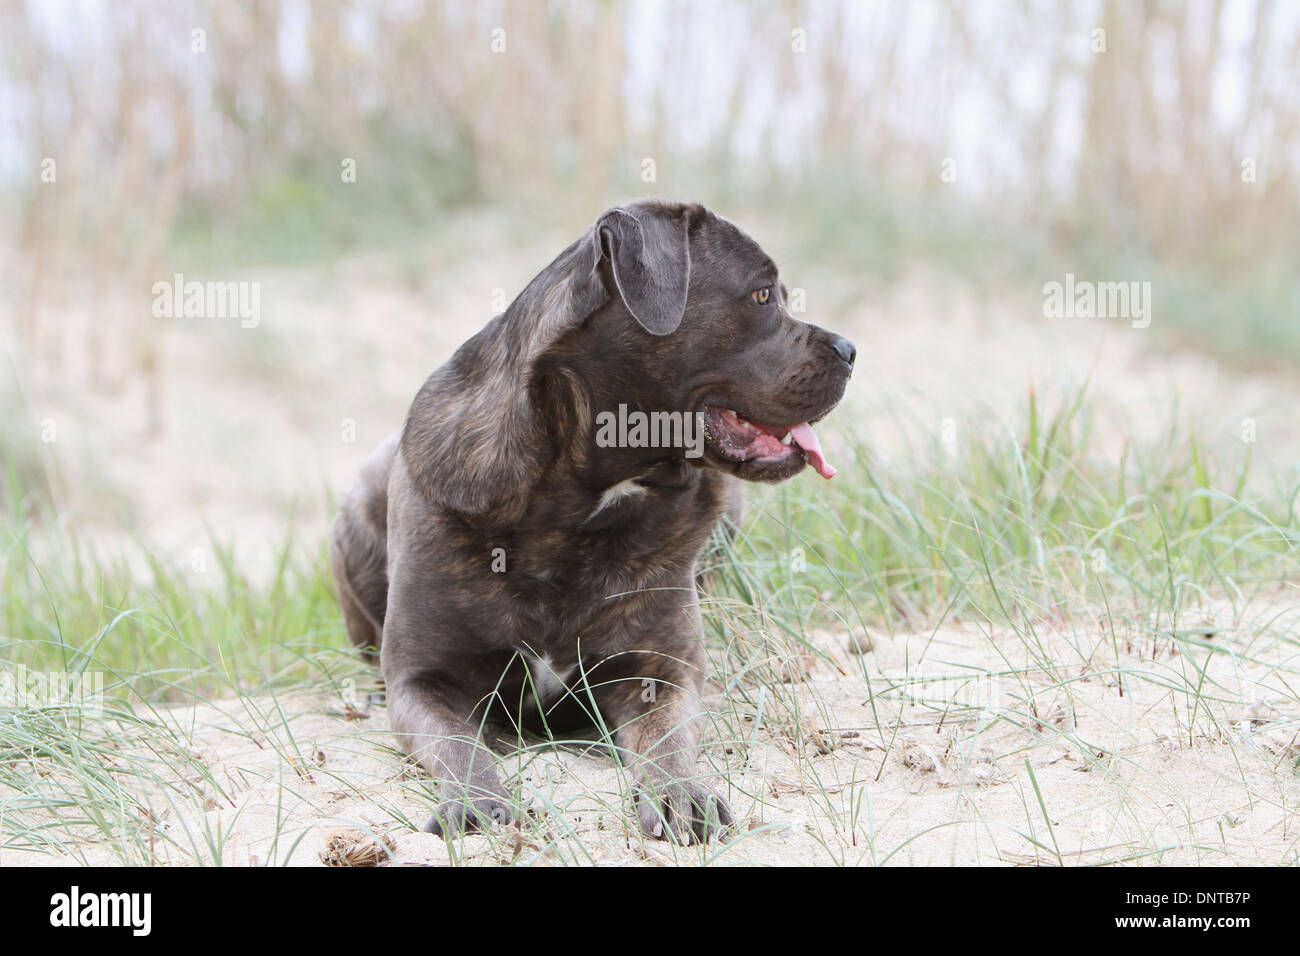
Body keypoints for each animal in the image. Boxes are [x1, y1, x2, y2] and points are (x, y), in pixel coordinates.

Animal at [330, 201, 852, 842]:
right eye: (760, 296)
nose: (851, 350)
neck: (580, 505)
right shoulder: (421, 680)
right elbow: (460, 745)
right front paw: (477, 798)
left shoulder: (661, 673)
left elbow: (666, 744)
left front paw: (681, 794)